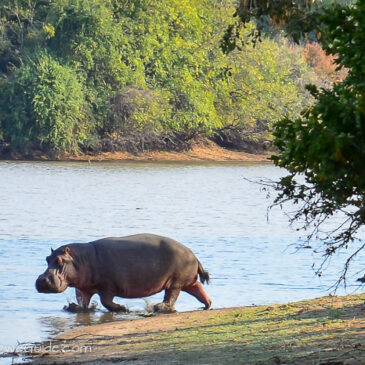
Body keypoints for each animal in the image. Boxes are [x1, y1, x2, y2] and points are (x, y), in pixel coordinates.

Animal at [34, 233, 210, 310]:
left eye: (60, 260)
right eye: (47, 258)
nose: (41, 280)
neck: (81, 260)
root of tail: (193, 255)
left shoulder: (107, 287)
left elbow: (106, 301)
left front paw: (123, 308)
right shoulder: (83, 288)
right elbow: (82, 301)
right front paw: (73, 308)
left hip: (175, 282)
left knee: (171, 296)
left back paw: (159, 306)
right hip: (187, 282)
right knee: (199, 290)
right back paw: (207, 304)